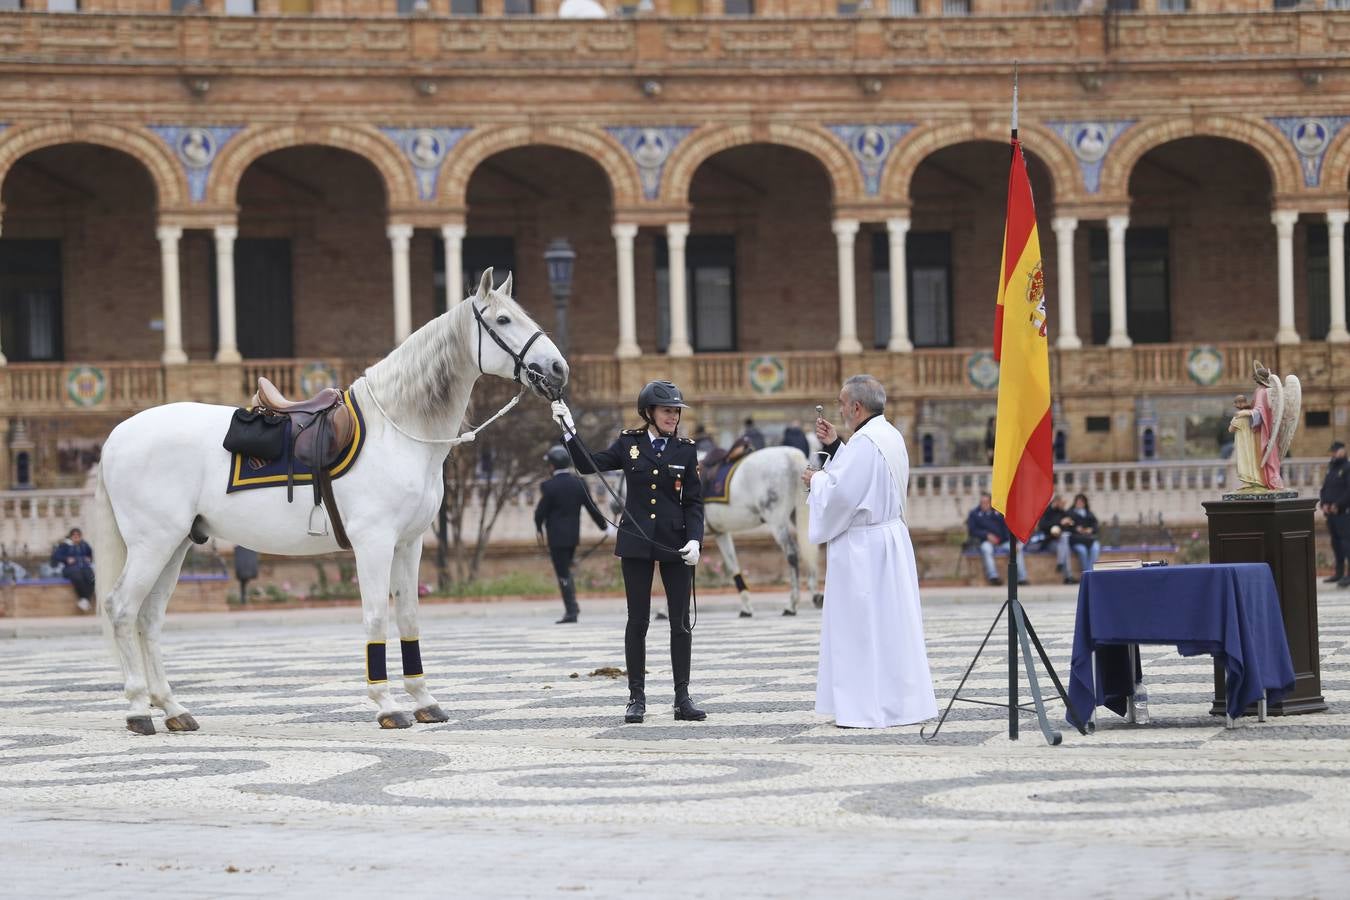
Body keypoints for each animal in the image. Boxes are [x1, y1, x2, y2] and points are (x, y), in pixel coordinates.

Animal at [91, 267, 564, 734]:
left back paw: (172, 708)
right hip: (153, 545)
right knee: (122, 610)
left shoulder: (409, 544)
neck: (397, 431)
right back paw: (138, 709)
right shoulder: (374, 543)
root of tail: (118, 435)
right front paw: (387, 704)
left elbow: (409, 616)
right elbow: (376, 616)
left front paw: (424, 700)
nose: (558, 368)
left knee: (149, 619)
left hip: (176, 546)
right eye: (503, 320)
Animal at [707, 445, 820, 615]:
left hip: (776, 519)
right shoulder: (720, 532)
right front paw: (746, 606)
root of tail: (792, 456)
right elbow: (733, 564)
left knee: (792, 553)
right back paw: (816, 596)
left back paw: (792, 603)